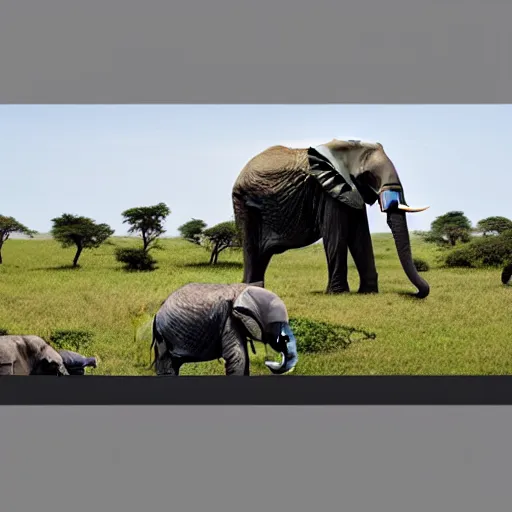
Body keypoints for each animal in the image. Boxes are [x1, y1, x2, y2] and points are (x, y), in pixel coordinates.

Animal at [150, 280, 298, 376]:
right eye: (274, 328)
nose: (269, 362)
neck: (242, 290)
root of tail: (157, 313)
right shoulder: (229, 318)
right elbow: (238, 358)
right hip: (163, 334)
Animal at [234, 138, 430, 298]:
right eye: (368, 175)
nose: (415, 293)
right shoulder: (327, 191)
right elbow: (335, 236)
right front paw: (339, 293)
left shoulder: (349, 190)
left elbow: (361, 237)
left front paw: (369, 292)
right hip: (244, 203)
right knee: (252, 249)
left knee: (263, 254)